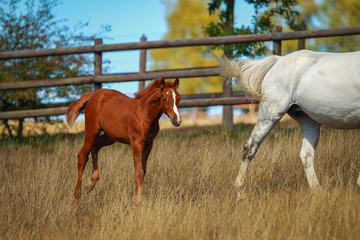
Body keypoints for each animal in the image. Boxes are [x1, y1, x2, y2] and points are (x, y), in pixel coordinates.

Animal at [217, 49, 360, 199]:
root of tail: (279, 60)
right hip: (271, 114)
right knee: (250, 147)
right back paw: (240, 193)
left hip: (308, 121)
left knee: (306, 155)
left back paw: (319, 193)